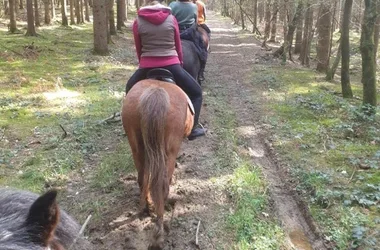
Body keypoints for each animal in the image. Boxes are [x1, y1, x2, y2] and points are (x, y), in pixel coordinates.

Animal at [121, 79, 193, 249]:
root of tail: (156, 93)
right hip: (169, 152)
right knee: (162, 185)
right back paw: (159, 232)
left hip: (137, 148)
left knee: (142, 179)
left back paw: (146, 209)